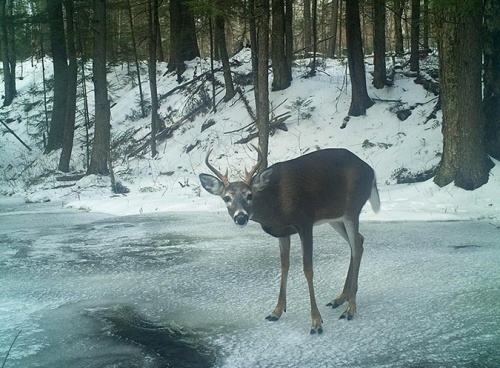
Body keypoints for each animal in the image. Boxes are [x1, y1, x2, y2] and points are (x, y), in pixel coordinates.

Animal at [198, 147, 378, 334]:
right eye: (226, 197)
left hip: (352, 209)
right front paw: (276, 311)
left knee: (356, 247)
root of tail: (371, 171)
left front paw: (316, 322)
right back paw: (341, 298)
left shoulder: (305, 222)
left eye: (249, 195)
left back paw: (350, 308)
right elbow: (284, 266)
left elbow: (308, 269)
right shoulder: (283, 232)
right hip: (335, 216)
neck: (274, 207)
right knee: (358, 241)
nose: (241, 217)